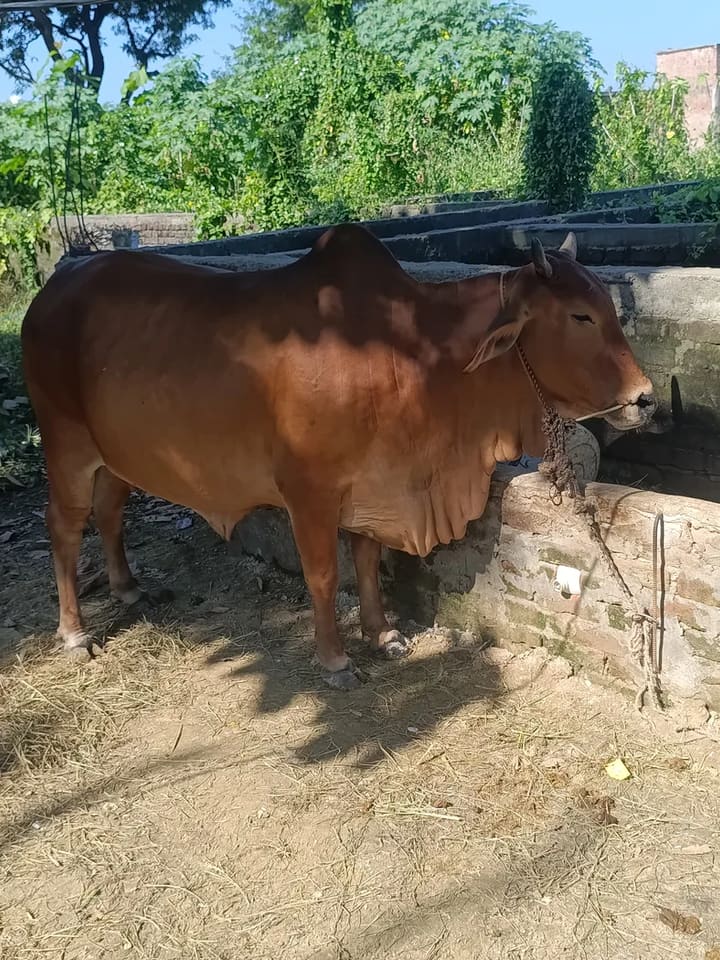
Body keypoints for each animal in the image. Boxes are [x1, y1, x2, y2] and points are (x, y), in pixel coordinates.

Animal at [22, 225, 655, 689]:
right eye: (579, 315)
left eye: (607, 305)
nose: (644, 398)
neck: (416, 354)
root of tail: (53, 286)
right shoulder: (310, 492)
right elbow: (325, 574)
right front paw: (335, 660)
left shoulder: (376, 484)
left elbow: (369, 559)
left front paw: (383, 635)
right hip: (66, 443)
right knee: (64, 526)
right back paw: (75, 634)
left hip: (117, 453)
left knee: (109, 511)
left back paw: (130, 589)